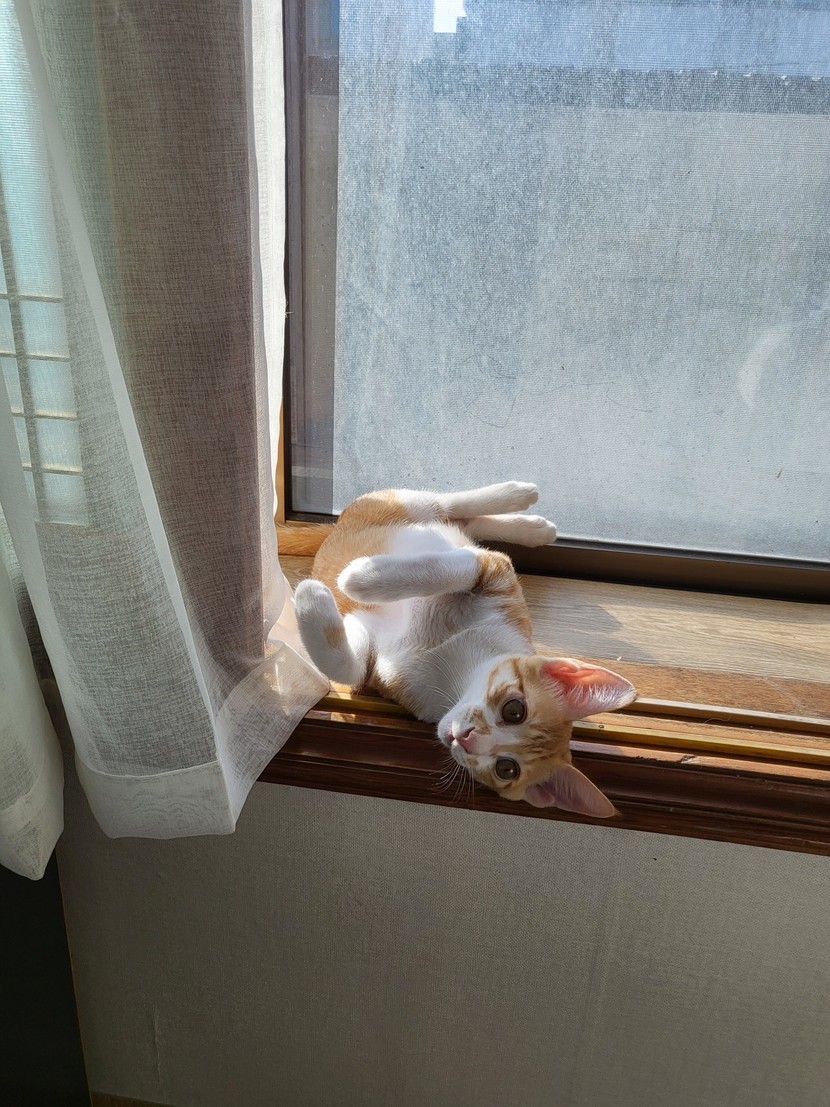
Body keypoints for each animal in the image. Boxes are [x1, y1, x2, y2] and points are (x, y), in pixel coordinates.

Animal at [293, 482, 635, 817]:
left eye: (506, 769)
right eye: (515, 710)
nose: (468, 739)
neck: (452, 666)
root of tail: (334, 528)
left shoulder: (375, 650)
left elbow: (347, 667)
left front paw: (313, 597)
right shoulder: (493, 571)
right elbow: (454, 566)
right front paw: (361, 577)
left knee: (462, 520)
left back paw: (533, 525)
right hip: (409, 504)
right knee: (448, 505)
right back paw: (520, 498)